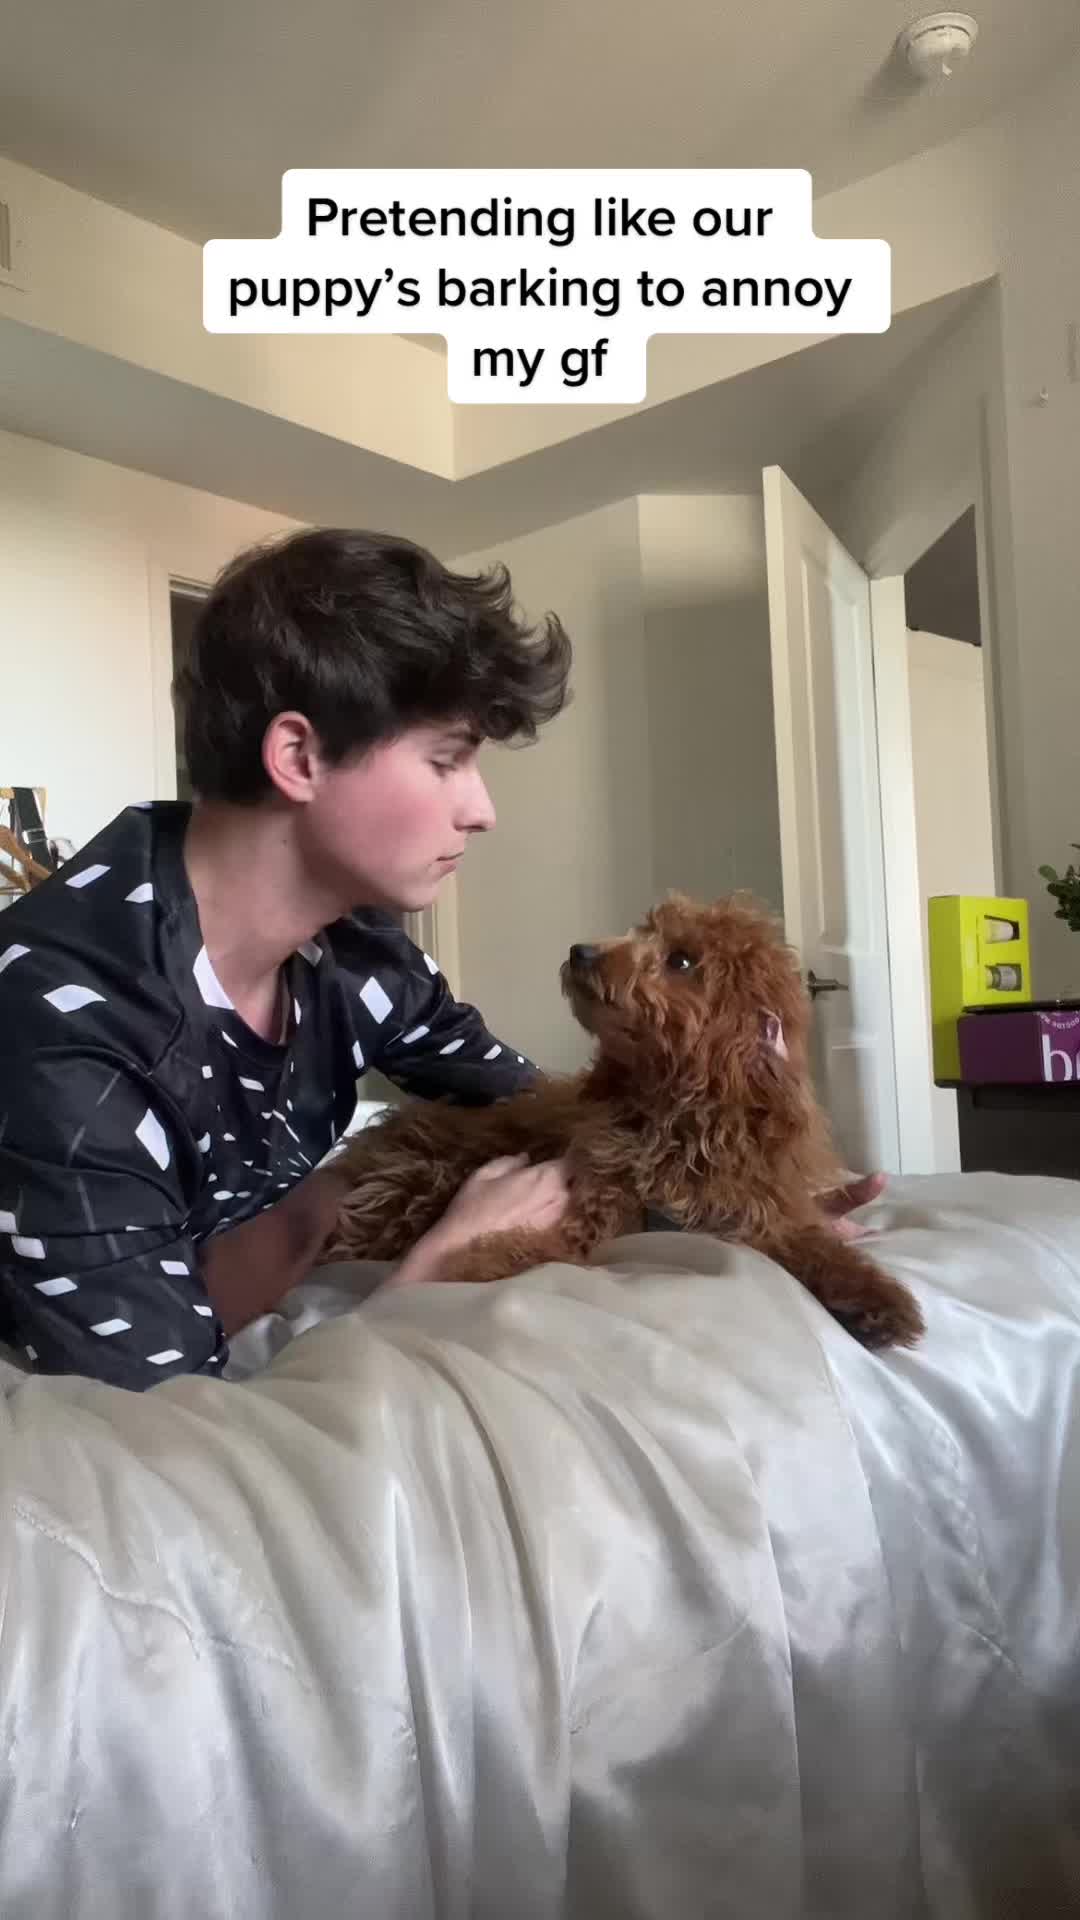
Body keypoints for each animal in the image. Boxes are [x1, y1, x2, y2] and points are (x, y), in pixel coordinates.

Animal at [324, 893, 925, 1350]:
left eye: (681, 961)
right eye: (644, 930)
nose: (581, 950)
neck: (673, 1115)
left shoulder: (749, 1210)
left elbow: (812, 1244)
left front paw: (878, 1299)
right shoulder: (596, 1209)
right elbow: (545, 1251)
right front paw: (476, 1262)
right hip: (417, 1180)